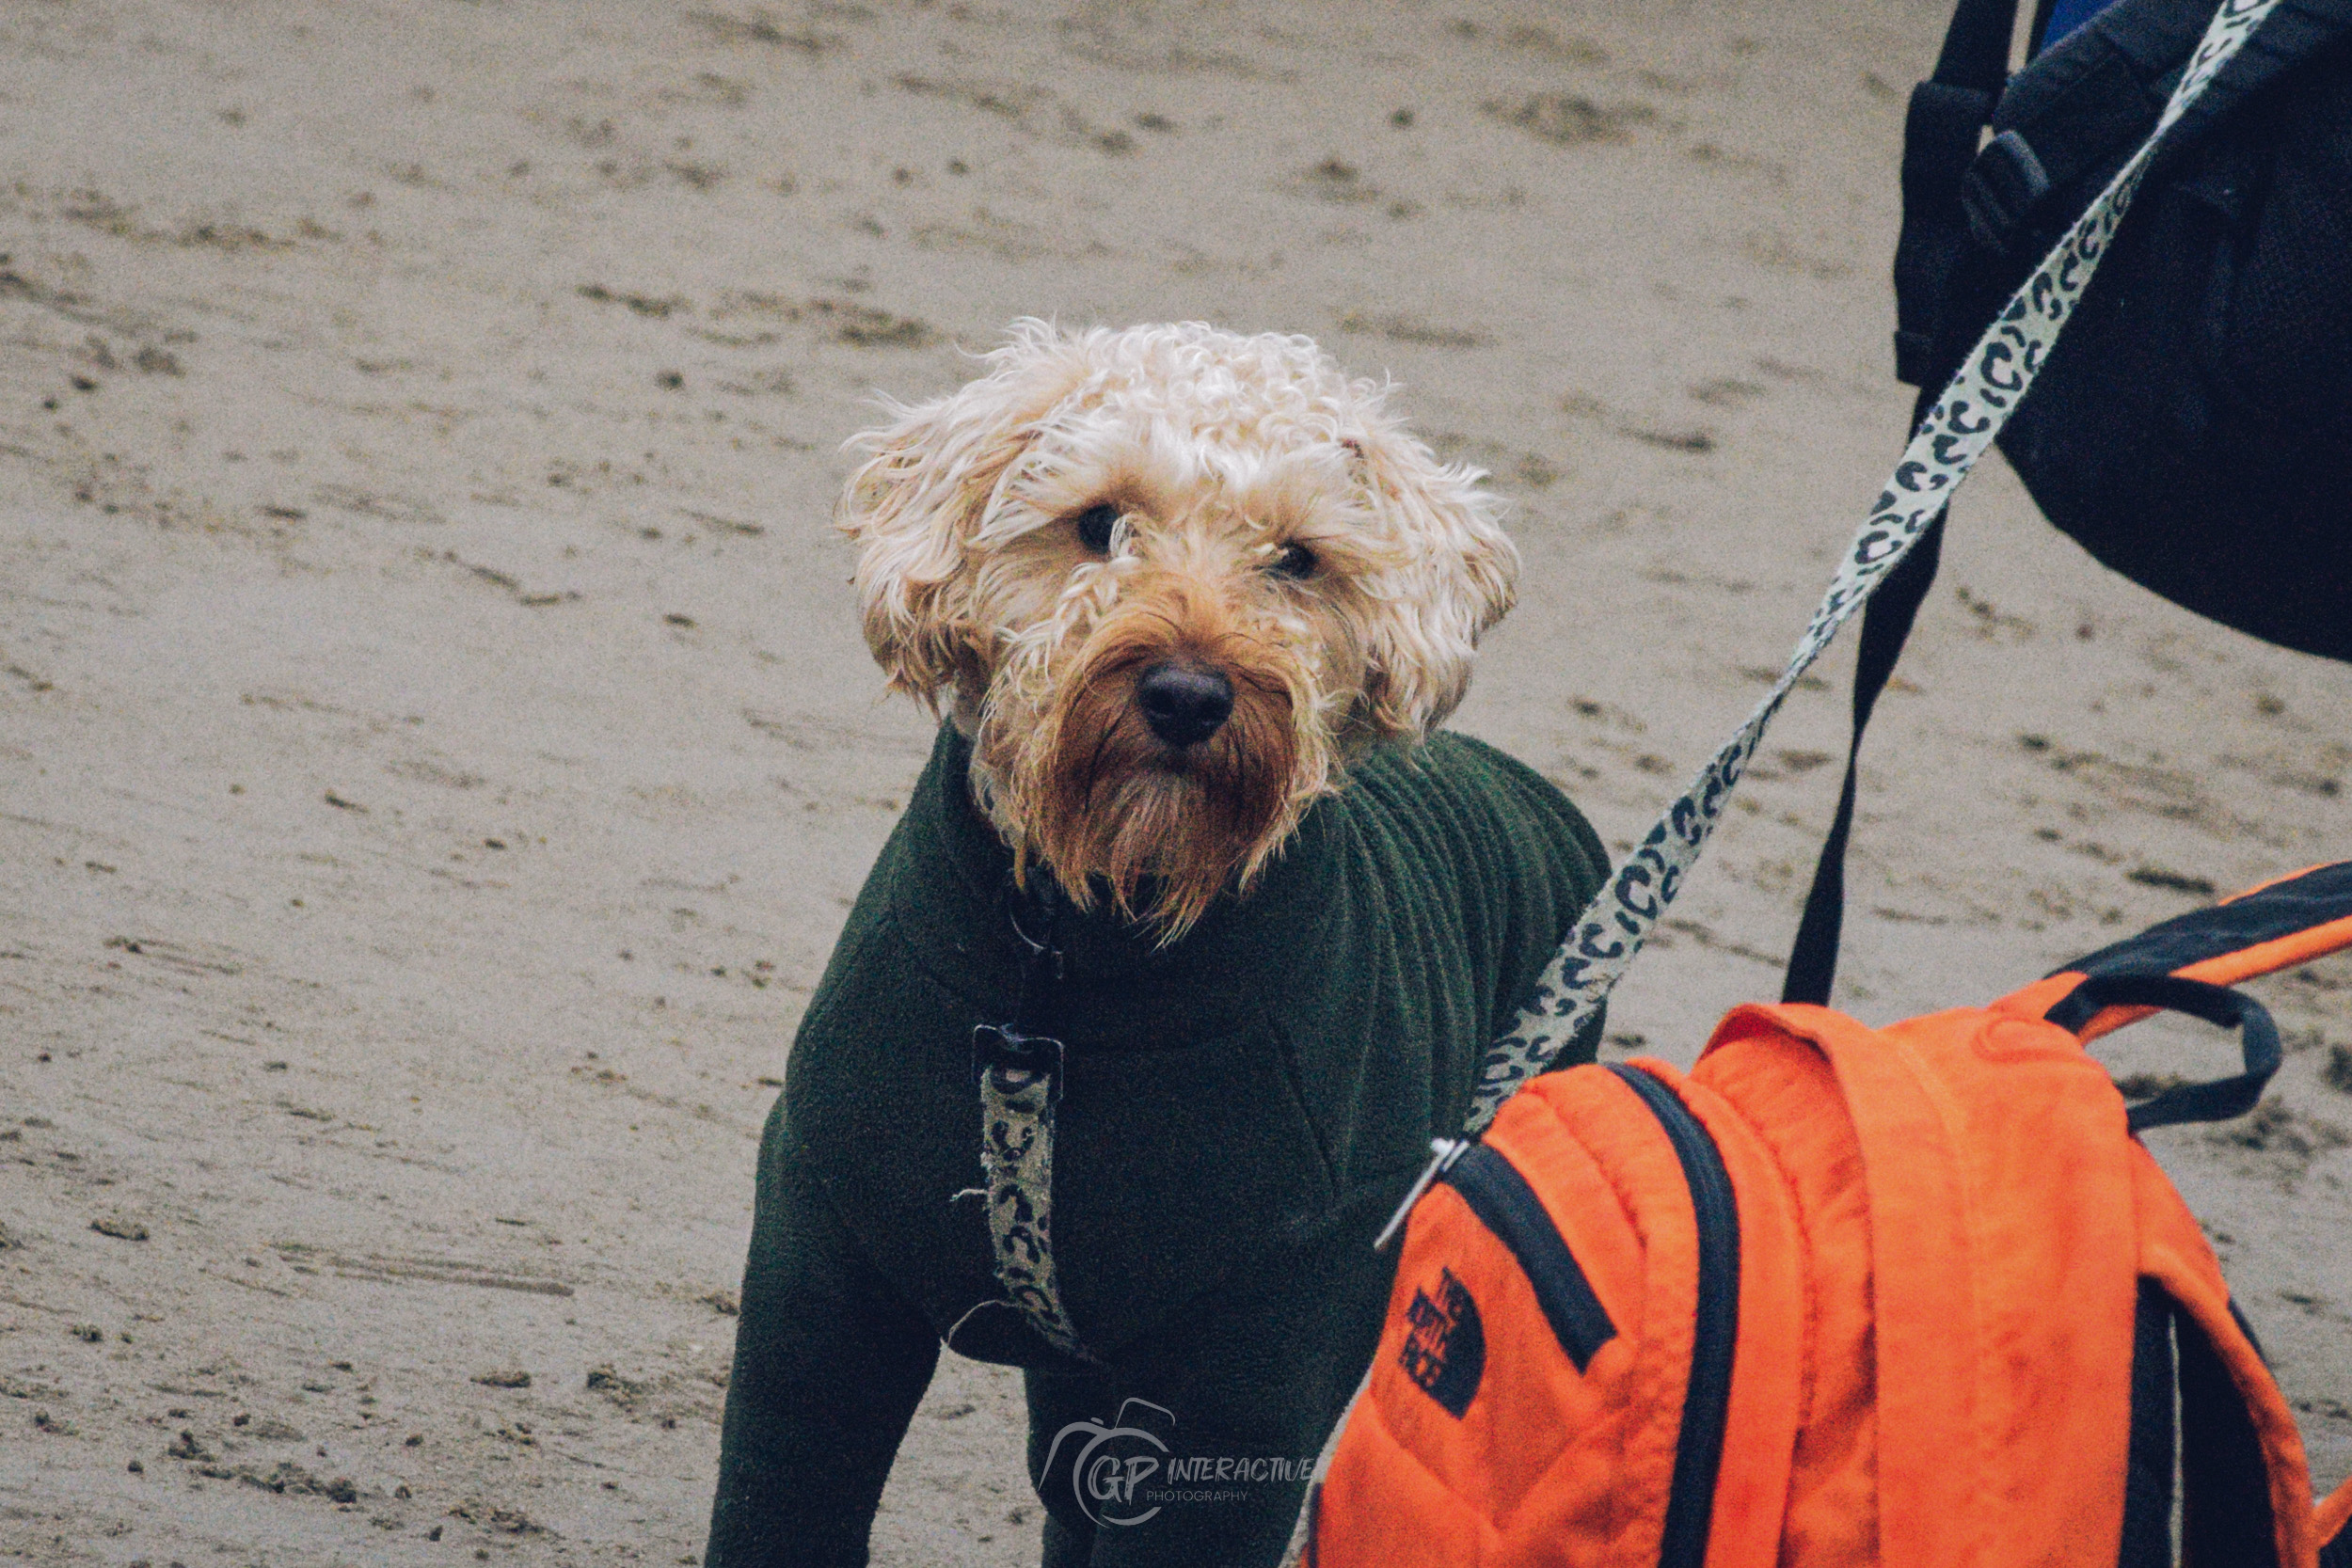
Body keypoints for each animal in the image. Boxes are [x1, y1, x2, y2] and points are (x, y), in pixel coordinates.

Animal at [706, 322, 1609, 1568]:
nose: (1187, 692)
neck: (1077, 962)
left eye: (1296, 559)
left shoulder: (1252, 1372)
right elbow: (779, 1497)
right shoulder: (827, 1276)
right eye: (1097, 521)